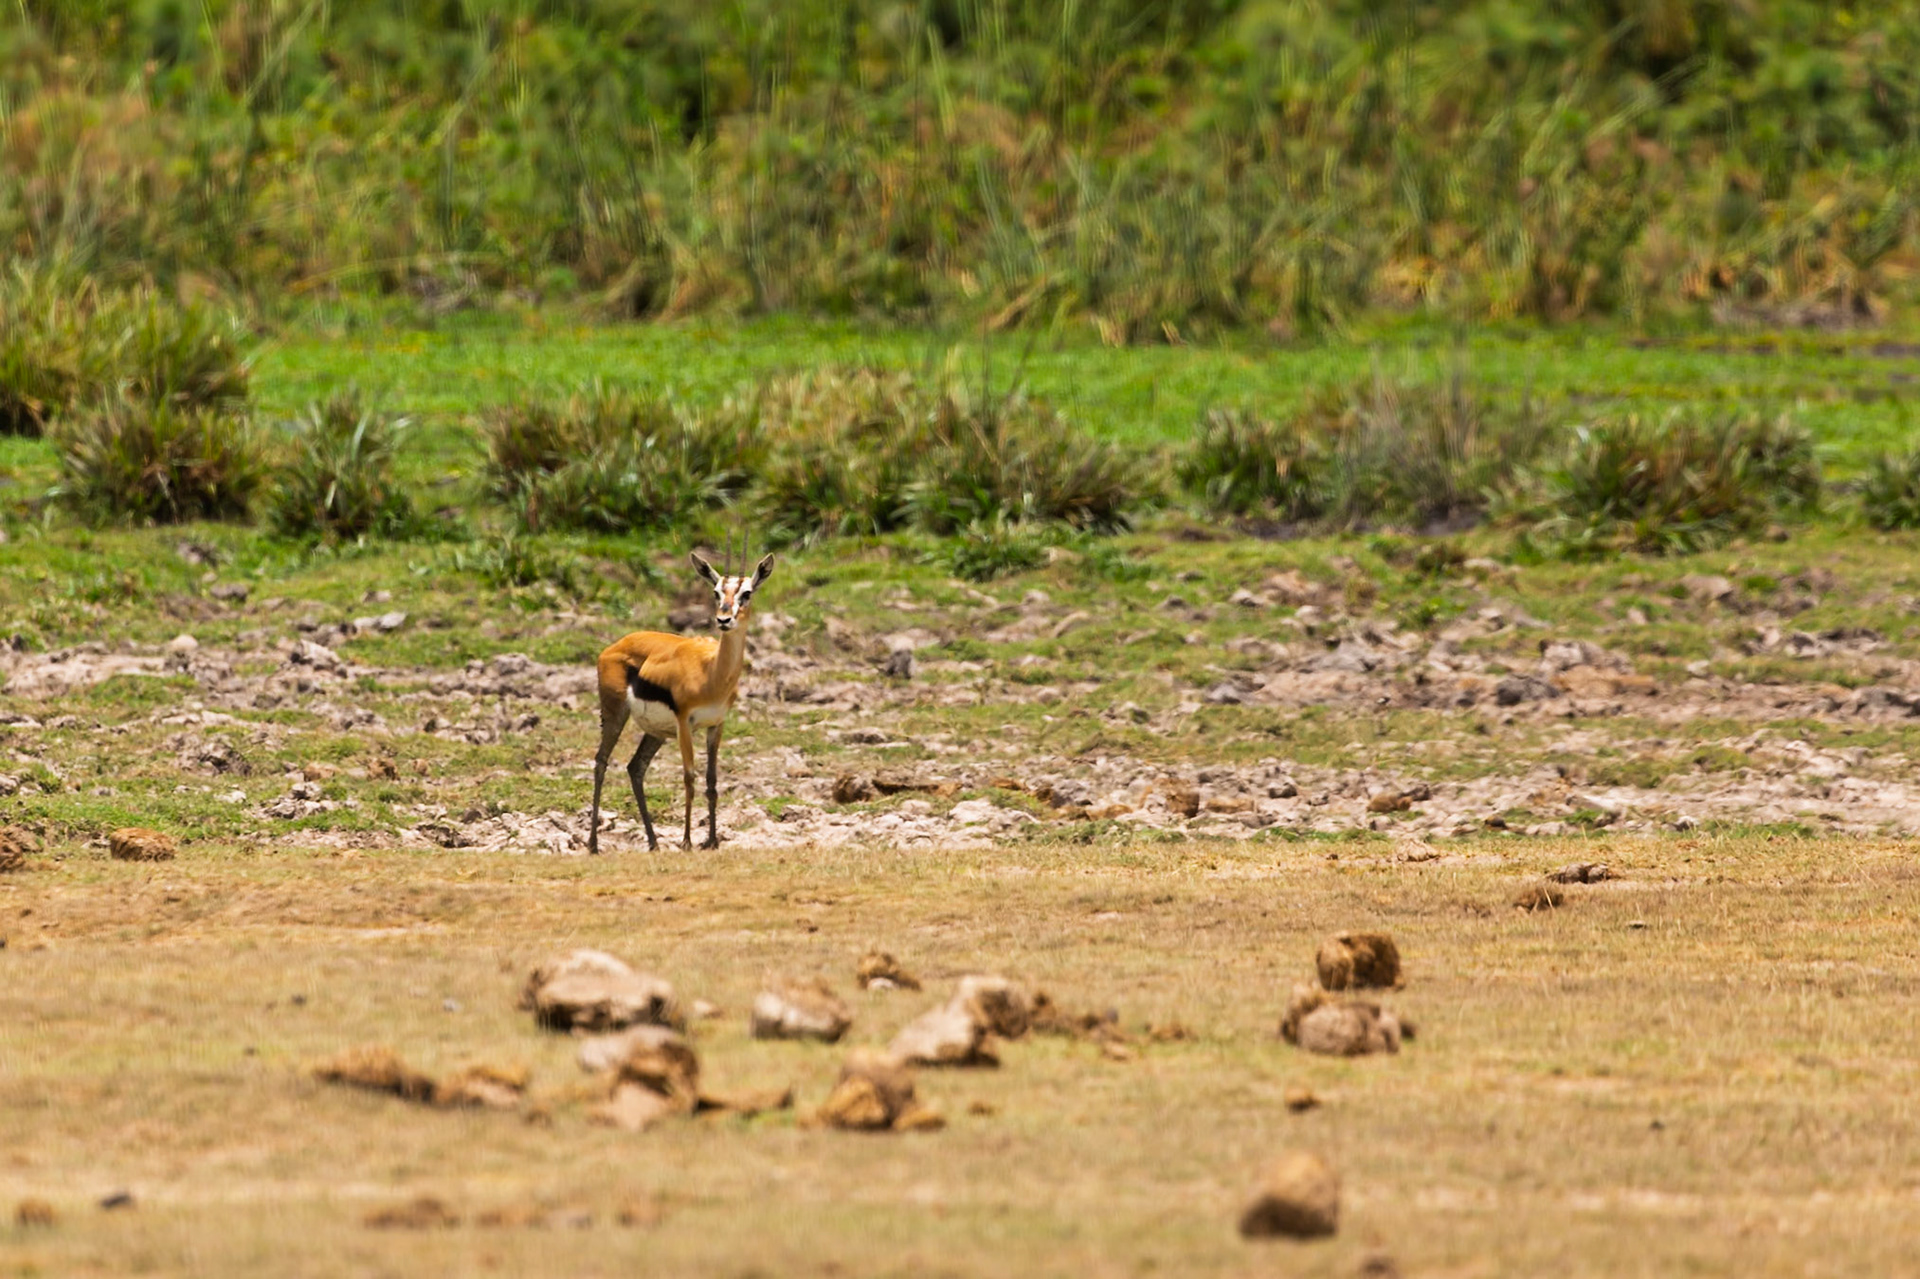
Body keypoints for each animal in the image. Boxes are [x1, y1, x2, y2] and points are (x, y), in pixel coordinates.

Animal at [588, 544, 775, 854]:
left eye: (746, 593)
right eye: (715, 592)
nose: (724, 620)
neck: (712, 673)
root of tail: (614, 646)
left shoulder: (716, 725)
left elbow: (711, 781)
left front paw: (712, 840)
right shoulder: (685, 723)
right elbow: (689, 778)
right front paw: (687, 841)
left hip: (656, 732)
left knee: (635, 768)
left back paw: (653, 842)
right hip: (616, 713)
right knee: (601, 761)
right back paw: (592, 844)